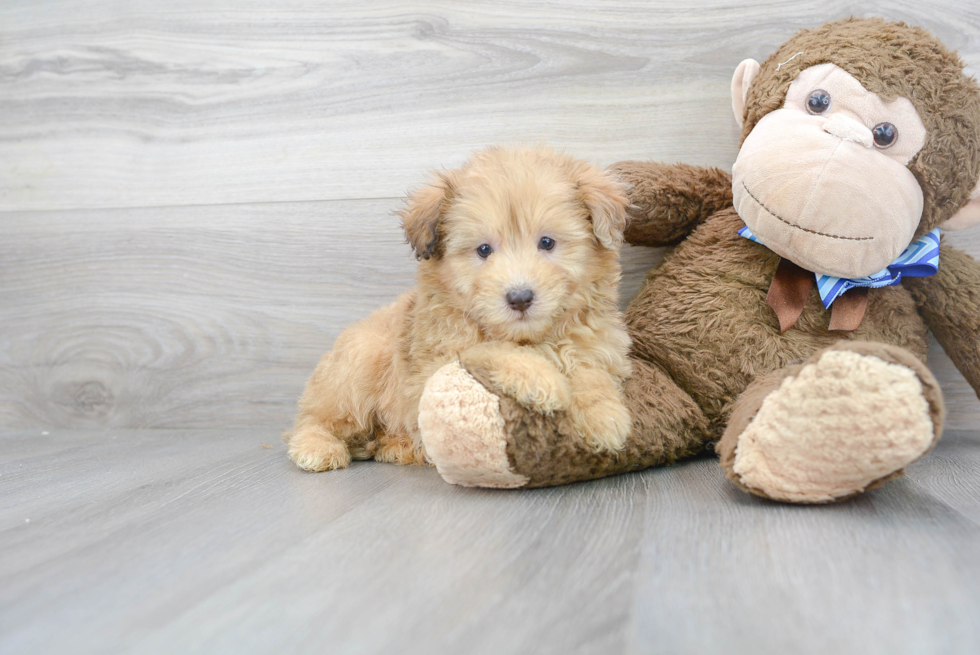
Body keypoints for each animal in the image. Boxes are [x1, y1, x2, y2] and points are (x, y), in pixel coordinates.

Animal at [288, 146, 632, 472]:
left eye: (547, 243)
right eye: (484, 250)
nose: (520, 297)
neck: (530, 338)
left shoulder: (596, 347)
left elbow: (589, 371)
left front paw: (605, 416)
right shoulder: (434, 367)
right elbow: (490, 349)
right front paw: (540, 377)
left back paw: (398, 446)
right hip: (361, 360)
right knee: (315, 419)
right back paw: (318, 447)